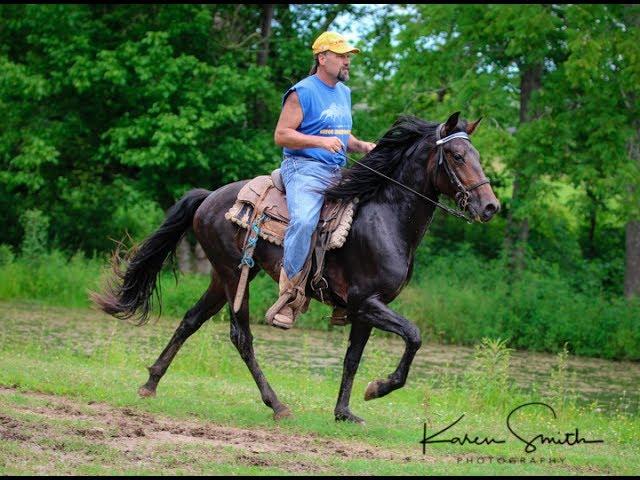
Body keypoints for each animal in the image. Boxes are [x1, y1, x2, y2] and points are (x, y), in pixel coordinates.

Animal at [91, 111, 500, 424]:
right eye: (458, 156)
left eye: (477, 154)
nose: (490, 206)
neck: (386, 219)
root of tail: (209, 198)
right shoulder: (366, 302)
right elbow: (414, 336)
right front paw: (378, 388)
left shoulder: (366, 308)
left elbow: (352, 359)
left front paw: (344, 412)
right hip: (233, 276)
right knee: (241, 338)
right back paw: (277, 404)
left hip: (225, 276)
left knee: (190, 320)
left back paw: (151, 383)